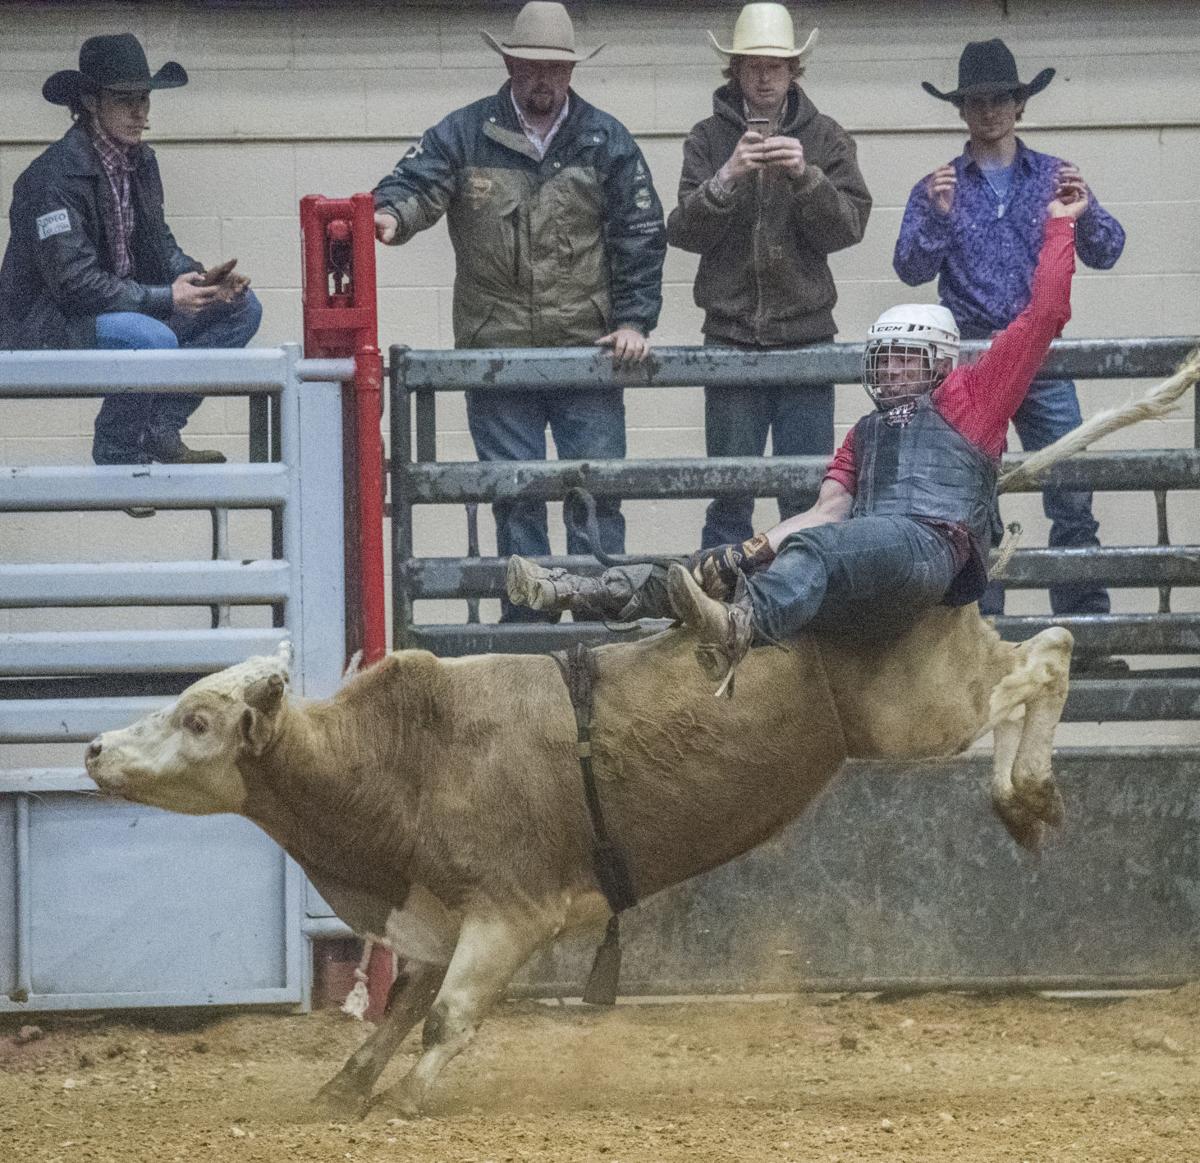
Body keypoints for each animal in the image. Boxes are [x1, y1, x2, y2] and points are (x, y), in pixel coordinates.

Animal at [79, 355, 1195, 1118]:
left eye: (198, 717)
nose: (93, 751)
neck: (402, 759)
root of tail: (928, 518)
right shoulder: (435, 916)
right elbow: (398, 1010)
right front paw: (340, 1091)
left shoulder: (514, 911)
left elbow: (444, 1017)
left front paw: (407, 1100)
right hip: (937, 676)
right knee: (1037, 653)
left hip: (918, 704)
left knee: (1043, 661)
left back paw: (1024, 792)